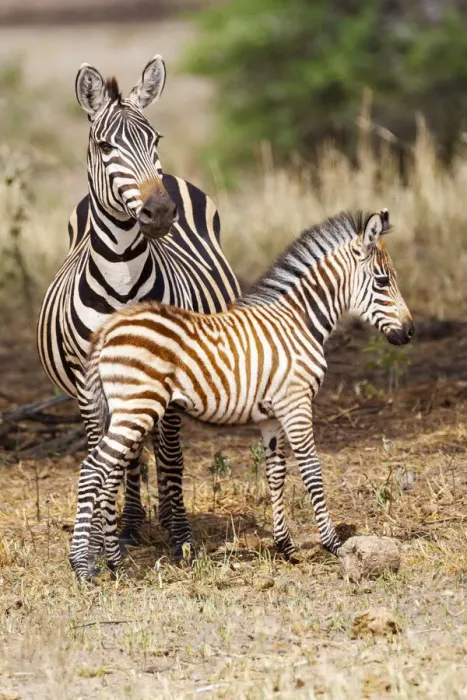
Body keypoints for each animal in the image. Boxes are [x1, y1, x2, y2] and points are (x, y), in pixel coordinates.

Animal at [36, 55, 240, 560]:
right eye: (105, 144)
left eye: (155, 139)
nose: (161, 212)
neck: (123, 280)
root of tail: (175, 178)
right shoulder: (88, 383)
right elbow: (104, 453)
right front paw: (104, 543)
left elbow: (170, 456)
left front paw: (181, 537)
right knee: (127, 450)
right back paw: (128, 525)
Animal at [68, 208, 414, 580]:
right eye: (382, 281)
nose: (410, 332)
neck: (299, 321)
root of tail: (108, 328)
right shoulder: (296, 403)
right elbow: (311, 469)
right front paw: (332, 543)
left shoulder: (271, 415)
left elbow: (276, 474)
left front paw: (286, 547)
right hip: (136, 409)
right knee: (94, 468)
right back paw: (83, 566)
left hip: (124, 411)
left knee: (108, 474)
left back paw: (113, 562)